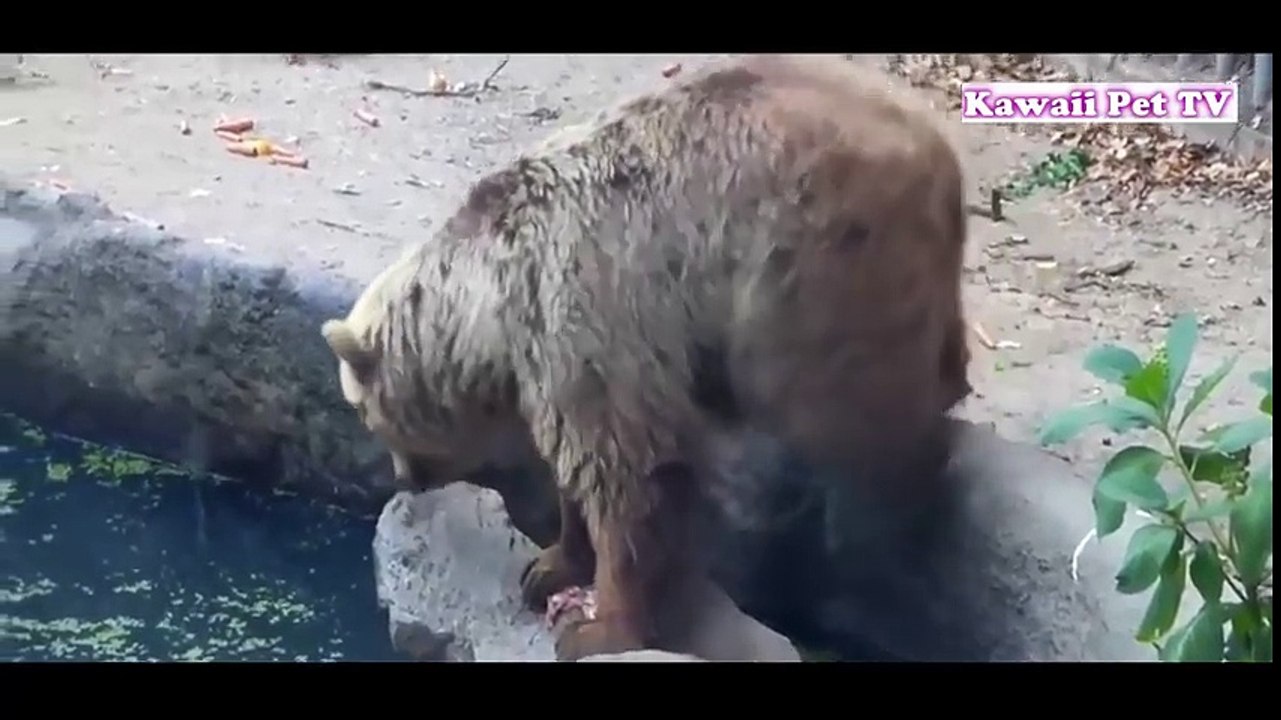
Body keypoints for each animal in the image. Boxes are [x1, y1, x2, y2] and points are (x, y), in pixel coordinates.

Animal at [320, 53, 972, 661]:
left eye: (366, 413)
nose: (405, 480)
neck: (492, 307)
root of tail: (939, 149)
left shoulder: (589, 311)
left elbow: (628, 473)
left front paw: (598, 626)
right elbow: (581, 468)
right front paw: (549, 565)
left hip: (811, 266)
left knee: (854, 412)